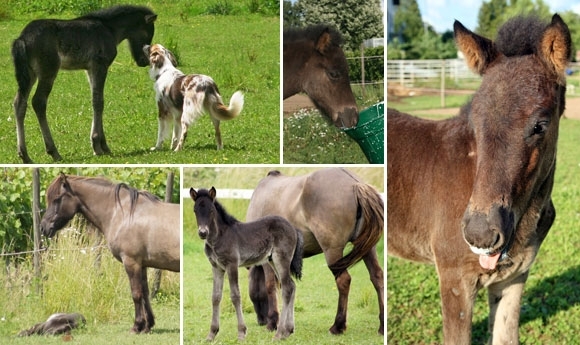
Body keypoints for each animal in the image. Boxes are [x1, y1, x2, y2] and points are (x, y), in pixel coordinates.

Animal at [11, 4, 156, 162]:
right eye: (148, 35)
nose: (144, 61)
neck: (109, 29)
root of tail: (22, 39)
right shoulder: (100, 65)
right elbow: (98, 102)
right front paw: (98, 145)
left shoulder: (90, 69)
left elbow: (96, 100)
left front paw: (103, 146)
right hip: (48, 71)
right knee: (38, 101)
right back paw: (53, 151)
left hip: (30, 74)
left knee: (19, 103)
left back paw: (24, 155)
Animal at [40, 173, 179, 332]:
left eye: (57, 199)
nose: (43, 227)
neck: (123, 213)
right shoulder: (141, 264)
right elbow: (145, 293)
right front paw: (147, 325)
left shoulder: (131, 262)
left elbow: (136, 294)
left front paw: (137, 325)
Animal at [190, 185, 304, 338]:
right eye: (195, 210)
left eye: (211, 210)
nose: (203, 233)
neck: (219, 237)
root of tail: (293, 227)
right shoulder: (216, 267)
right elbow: (215, 297)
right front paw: (212, 334)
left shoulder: (232, 265)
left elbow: (235, 296)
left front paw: (241, 332)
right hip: (273, 261)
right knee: (291, 285)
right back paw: (288, 330)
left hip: (281, 259)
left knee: (287, 288)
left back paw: (279, 333)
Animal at [247, 168, 382, 334]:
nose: (261, 320)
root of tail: (355, 183)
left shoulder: (268, 260)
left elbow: (271, 286)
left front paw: (273, 322)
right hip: (368, 249)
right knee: (377, 277)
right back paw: (382, 326)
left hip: (332, 251)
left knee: (343, 281)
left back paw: (338, 326)